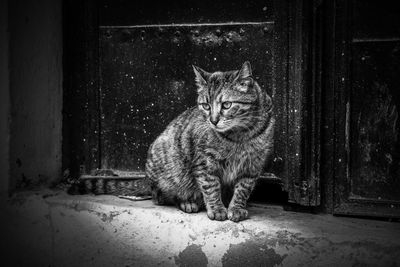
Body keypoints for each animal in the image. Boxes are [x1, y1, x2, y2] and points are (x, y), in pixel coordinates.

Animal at [69, 61, 276, 223]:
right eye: (206, 105)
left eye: (226, 105)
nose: (213, 120)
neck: (241, 135)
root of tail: (146, 179)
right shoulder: (204, 163)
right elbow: (211, 186)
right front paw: (217, 208)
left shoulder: (253, 166)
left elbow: (243, 189)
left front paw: (237, 208)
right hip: (168, 169)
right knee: (161, 197)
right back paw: (187, 202)